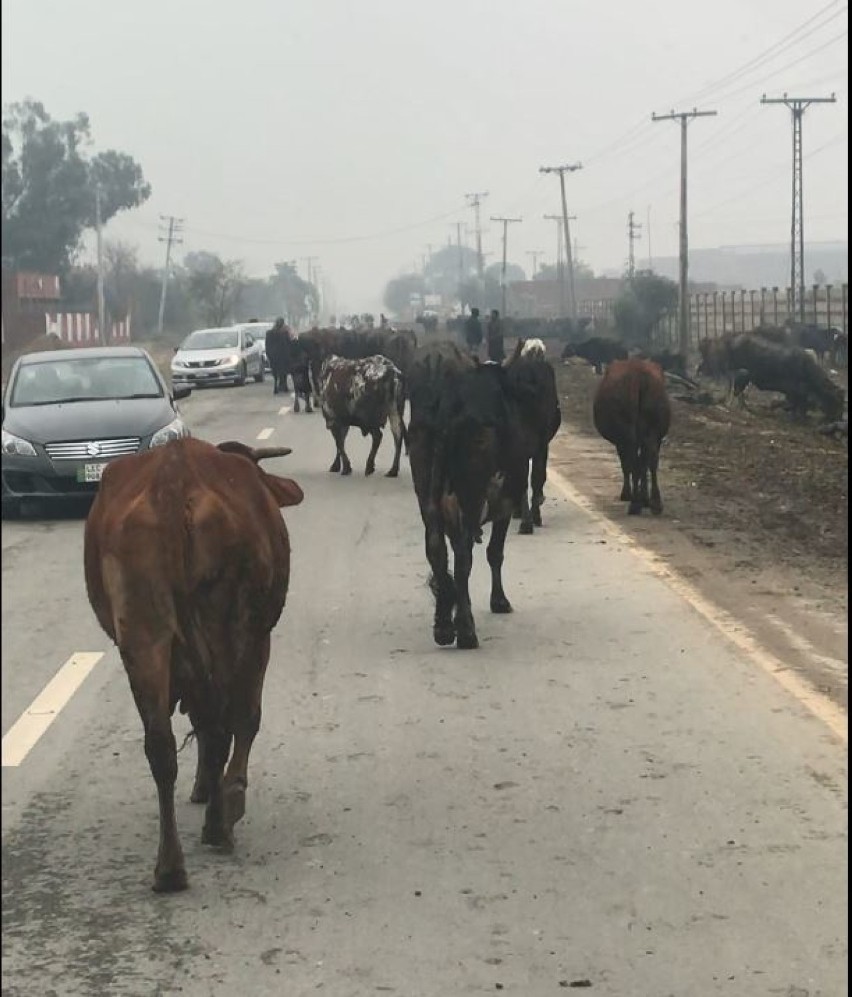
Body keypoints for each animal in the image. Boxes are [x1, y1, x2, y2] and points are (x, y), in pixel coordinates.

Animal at [84, 436, 302, 888]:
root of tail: (173, 481)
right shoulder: (260, 639)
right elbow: (245, 718)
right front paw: (229, 790)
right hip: (231, 626)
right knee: (225, 725)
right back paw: (219, 822)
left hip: (143, 633)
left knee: (162, 744)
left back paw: (170, 867)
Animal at [592, 358, 672, 512]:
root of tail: (639, 376)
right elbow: (643, 463)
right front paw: (644, 497)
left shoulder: (620, 441)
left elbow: (626, 464)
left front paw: (628, 494)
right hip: (653, 430)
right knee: (651, 460)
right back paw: (654, 502)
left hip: (628, 432)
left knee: (633, 461)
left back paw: (635, 503)